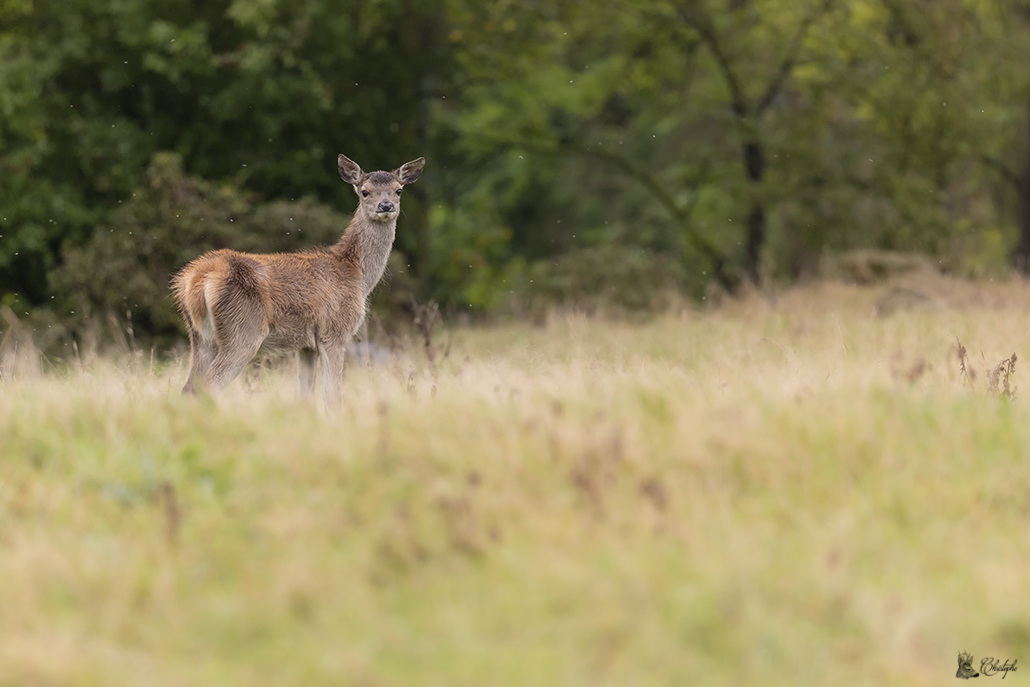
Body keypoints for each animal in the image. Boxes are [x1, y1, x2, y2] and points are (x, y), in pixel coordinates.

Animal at [170, 153, 424, 405]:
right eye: (364, 191)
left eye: (398, 190)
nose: (386, 206)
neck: (356, 275)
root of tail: (195, 280)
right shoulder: (335, 332)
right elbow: (332, 399)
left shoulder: (306, 346)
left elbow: (305, 397)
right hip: (242, 328)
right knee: (209, 385)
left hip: (202, 337)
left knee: (189, 388)